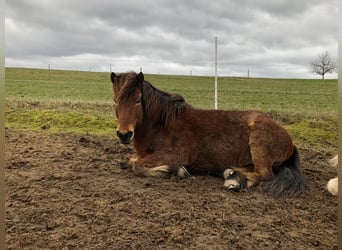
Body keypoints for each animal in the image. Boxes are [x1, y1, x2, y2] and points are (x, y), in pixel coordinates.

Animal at [111, 71, 306, 198]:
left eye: (137, 100)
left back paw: (236, 180)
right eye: (116, 101)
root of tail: (289, 140)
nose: (124, 134)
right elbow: (128, 161)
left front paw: (173, 171)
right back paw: (232, 174)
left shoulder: (173, 155)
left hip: (259, 143)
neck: (162, 124)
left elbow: (137, 166)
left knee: (265, 174)